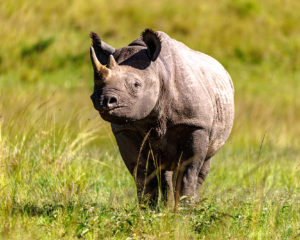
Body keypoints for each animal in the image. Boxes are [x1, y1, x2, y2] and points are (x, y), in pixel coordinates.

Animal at [89, 29, 234, 206]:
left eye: (136, 85)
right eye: (95, 85)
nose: (104, 100)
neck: (158, 71)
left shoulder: (196, 125)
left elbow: (187, 173)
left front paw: (184, 210)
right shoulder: (125, 129)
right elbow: (142, 173)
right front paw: (147, 210)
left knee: (202, 168)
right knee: (163, 171)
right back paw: (166, 207)